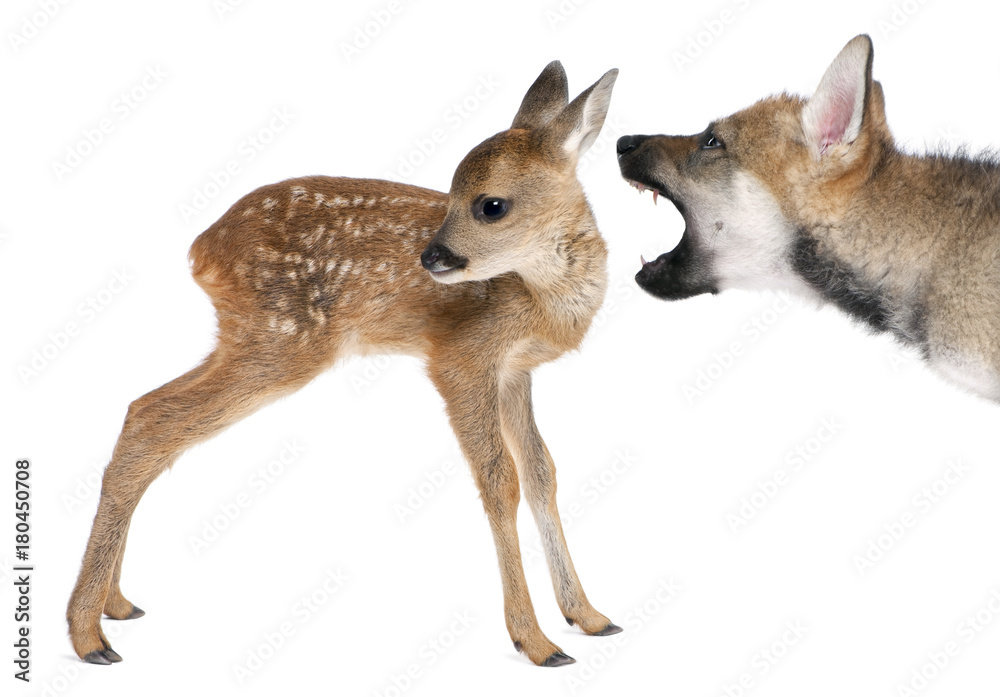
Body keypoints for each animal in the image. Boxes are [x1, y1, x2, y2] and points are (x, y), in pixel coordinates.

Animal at [67, 61, 621, 668]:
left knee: (143, 409)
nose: (430, 258)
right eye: (452, 193)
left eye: (490, 205)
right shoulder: (460, 357)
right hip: (284, 342)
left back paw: (115, 605)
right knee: (154, 421)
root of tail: (200, 251)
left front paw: (588, 615)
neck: (542, 293)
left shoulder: (515, 372)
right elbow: (500, 481)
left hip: (247, 338)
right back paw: (89, 634)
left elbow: (542, 473)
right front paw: (536, 641)